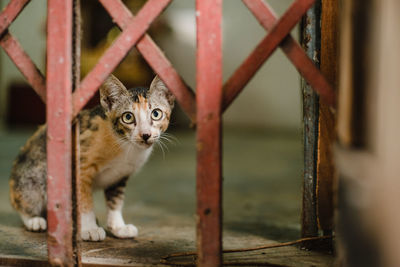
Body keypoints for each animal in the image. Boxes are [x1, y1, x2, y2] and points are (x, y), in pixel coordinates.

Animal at [8, 75, 174, 243]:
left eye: (156, 114)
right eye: (128, 117)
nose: (145, 135)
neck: (126, 146)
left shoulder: (120, 175)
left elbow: (116, 202)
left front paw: (118, 227)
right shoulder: (81, 168)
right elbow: (84, 200)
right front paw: (89, 229)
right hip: (34, 176)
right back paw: (35, 220)